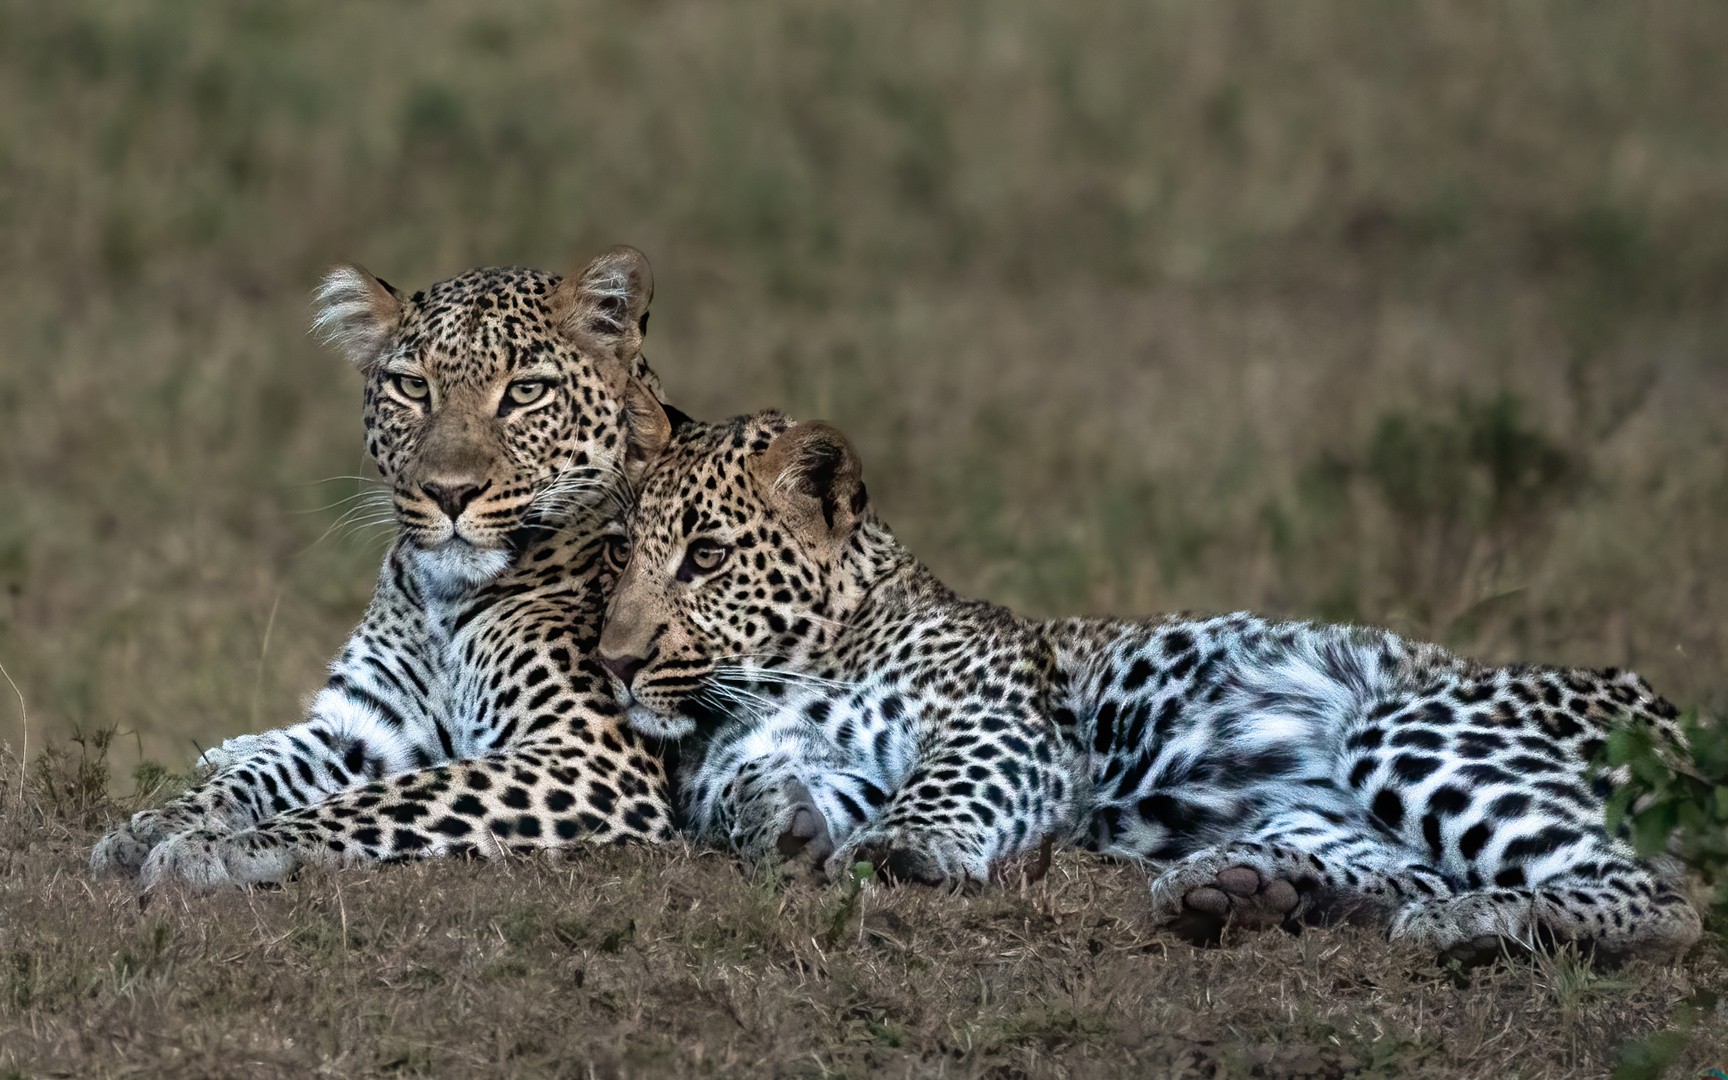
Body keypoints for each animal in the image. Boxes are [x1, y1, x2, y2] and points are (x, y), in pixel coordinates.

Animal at [87, 243, 680, 884]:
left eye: (525, 392)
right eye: (412, 388)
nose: (449, 492)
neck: (447, 596)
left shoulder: (595, 756)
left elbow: (398, 795)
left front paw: (216, 847)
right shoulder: (368, 719)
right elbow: (262, 774)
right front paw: (155, 825)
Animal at [594, 406, 1700, 960]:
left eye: (704, 558)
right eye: (620, 555)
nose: (615, 660)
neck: (802, 660)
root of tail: (1684, 723)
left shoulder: (1002, 715)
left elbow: (944, 787)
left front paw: (900, 851)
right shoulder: (774, 747)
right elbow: (751, 783)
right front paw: (782, 823)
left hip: (1408, 724)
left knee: (1658, 896)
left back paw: (1472, 928)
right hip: (1322, 804)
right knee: (1417, 868)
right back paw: (1247, 890)